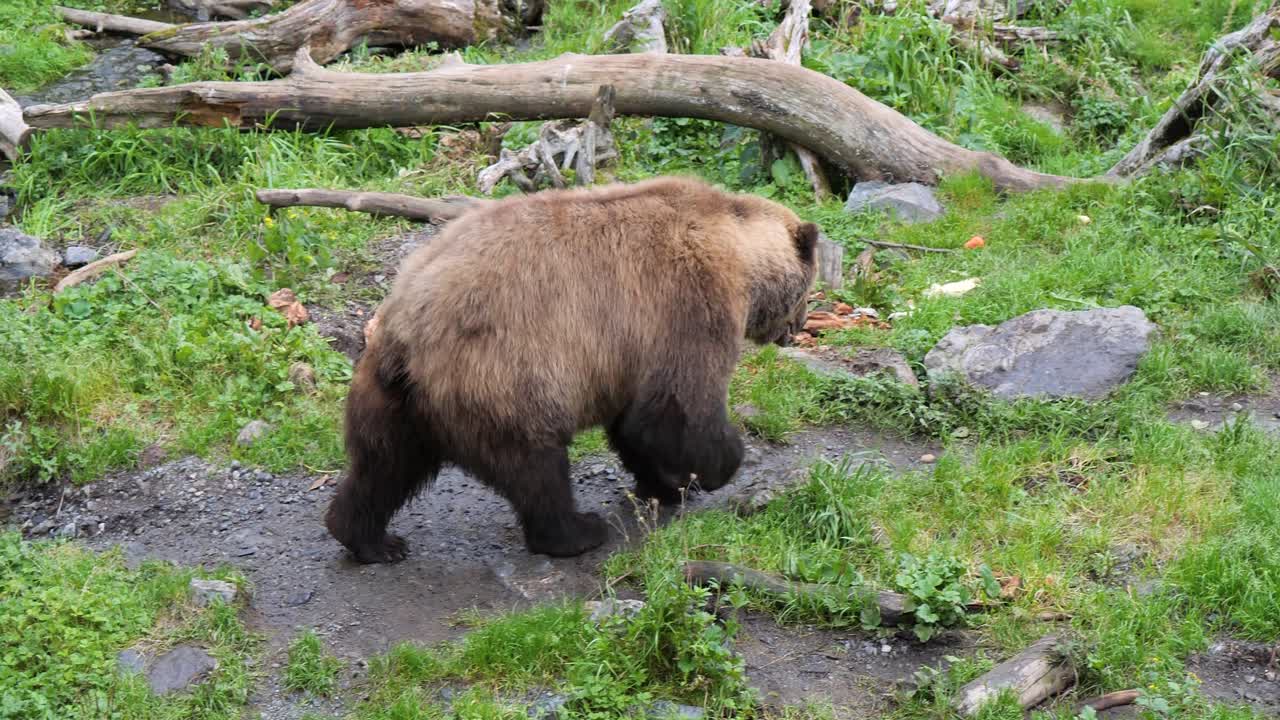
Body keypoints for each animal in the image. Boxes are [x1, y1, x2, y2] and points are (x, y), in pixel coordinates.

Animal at [324, 176, 819, 563]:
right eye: (808, 289)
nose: (796, 329)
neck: (738, 248)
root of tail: (408, 320)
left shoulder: (627, 354)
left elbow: (634, 425)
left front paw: (666, 483)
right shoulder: (686, 302)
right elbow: (677, 408)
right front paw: (712, 471)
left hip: (393, 393)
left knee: (385, 463)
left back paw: (369, 539)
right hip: (503, 371)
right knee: (534, 465)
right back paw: (578, 531)